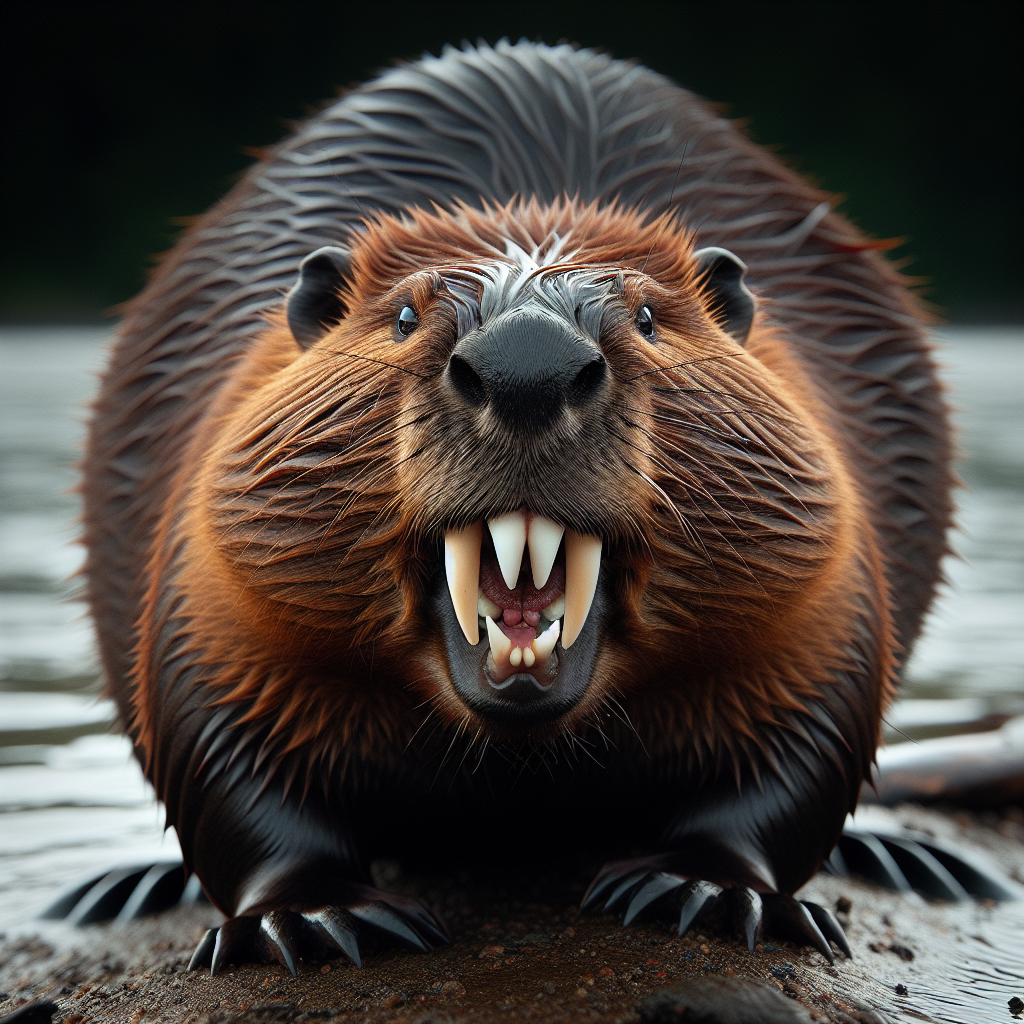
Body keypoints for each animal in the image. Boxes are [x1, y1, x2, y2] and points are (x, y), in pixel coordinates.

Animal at [79, 36, 950, 970]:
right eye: (401, 315)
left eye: (650, 315)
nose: (526, 363)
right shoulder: (213, 579)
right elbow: (219, 753)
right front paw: (317, 918)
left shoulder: (822, 582)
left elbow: (808, 746)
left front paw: (706, 890)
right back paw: (129, 885)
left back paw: (903, 857)